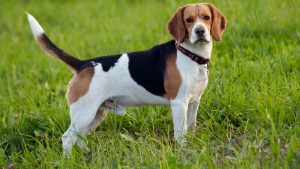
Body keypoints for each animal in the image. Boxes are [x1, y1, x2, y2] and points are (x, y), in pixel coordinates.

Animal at [27, 2, 226, 156]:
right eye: (189, 20)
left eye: (206, 17)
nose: (200, 31)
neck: (191, 55)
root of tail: (83, 64)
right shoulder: (179, 103)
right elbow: (180, 133)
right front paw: (183, 151)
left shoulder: (194, 102)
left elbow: (191, 127)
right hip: (84, 113)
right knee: (68, 138)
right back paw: (68, 160)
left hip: (96, 114)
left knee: (79, 137)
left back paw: (86, 153)